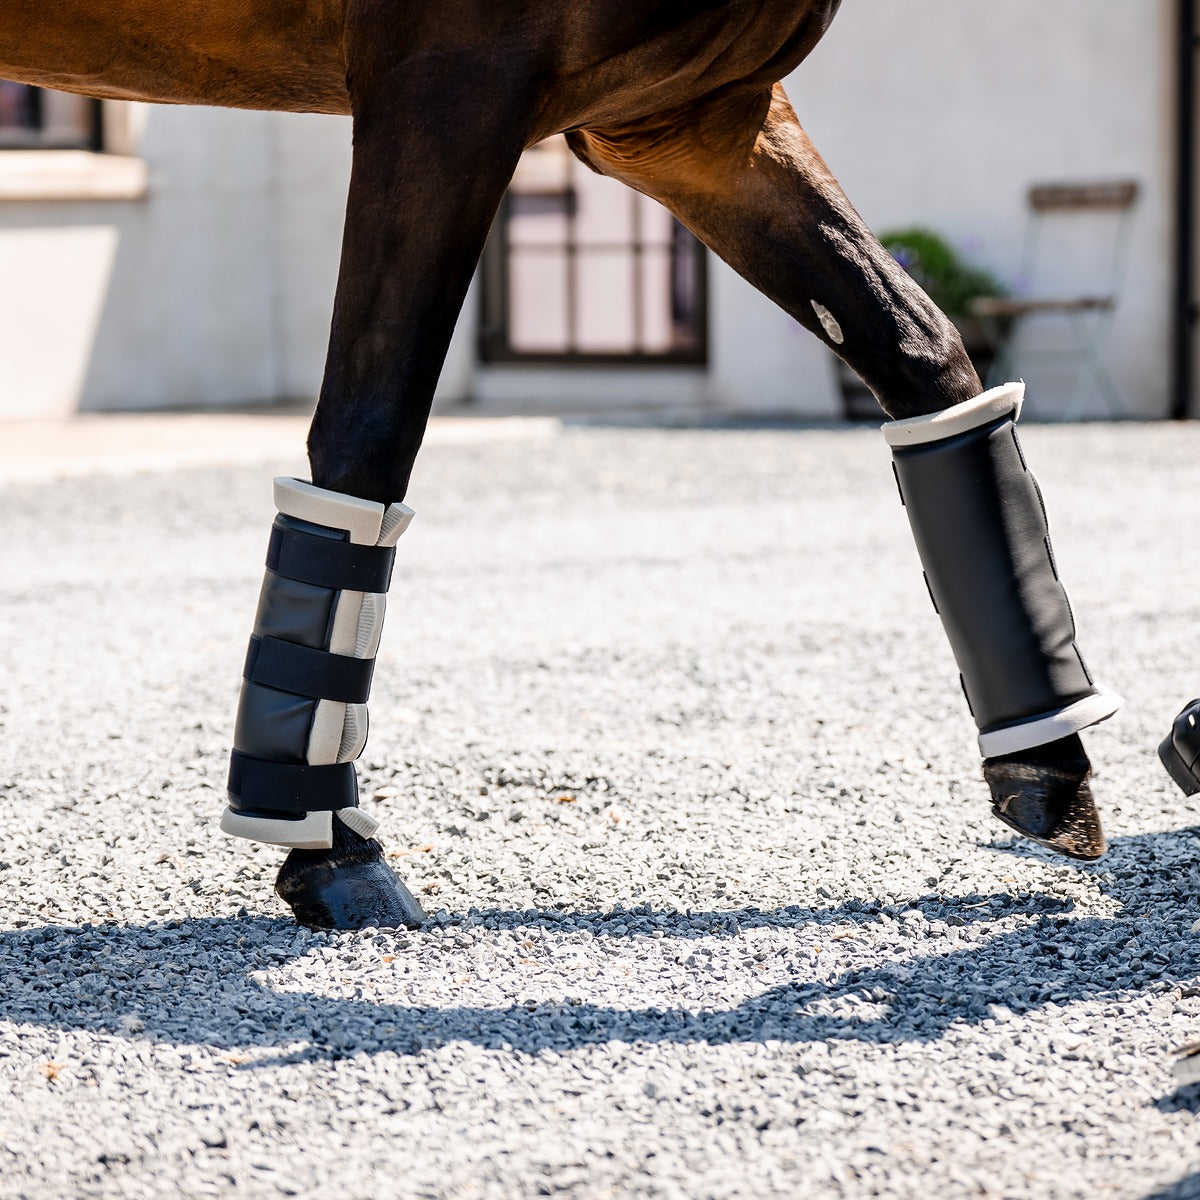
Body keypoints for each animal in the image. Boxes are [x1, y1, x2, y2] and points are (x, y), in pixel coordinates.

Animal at [0, 0, 1125, 929]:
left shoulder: (697, 123)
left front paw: (1047, 759)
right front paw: (327, 851)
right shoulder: (448, 88)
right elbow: (369, 432)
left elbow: (922, 351)